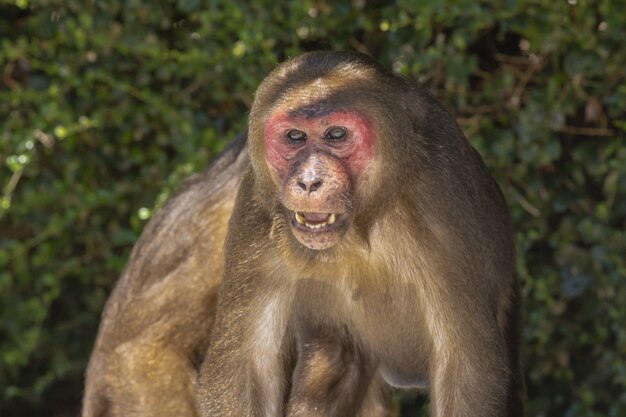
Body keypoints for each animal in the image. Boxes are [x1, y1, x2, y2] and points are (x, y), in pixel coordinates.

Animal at [199, 49, 520, 416]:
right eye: (295, 137)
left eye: (337, 134)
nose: (309, 181)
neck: (363, 221)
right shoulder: (258, 205)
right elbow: (243, 367)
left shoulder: (446, 199)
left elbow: (464, 371)